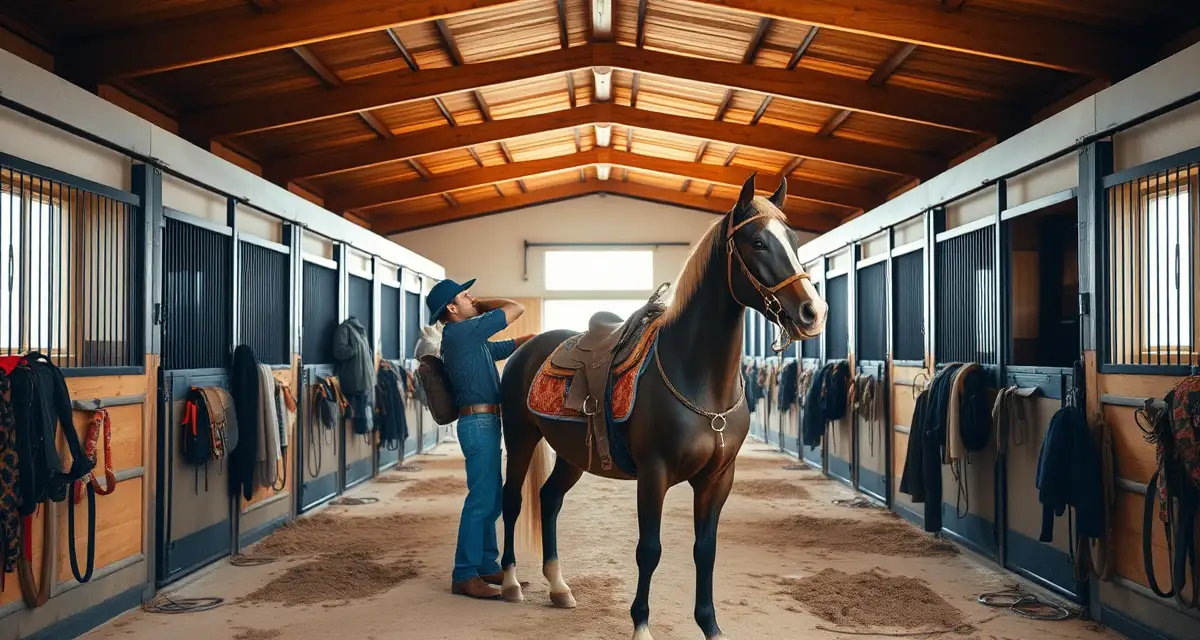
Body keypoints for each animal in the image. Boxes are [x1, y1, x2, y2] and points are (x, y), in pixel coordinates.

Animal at [496, 173, 828, 640]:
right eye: (759, 243)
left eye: (795, 241)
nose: (813, 312)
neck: (699, 382)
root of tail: (527, 348)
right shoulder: (654, 474)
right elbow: (649, 550)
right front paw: (640, 625)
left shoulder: (717, 479)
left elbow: (705, 550)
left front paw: (710, 626)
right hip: (521, 436)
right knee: (511, 500)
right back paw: (510, 583)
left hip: (573, 454)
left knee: (549, 498)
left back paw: (560, 587)